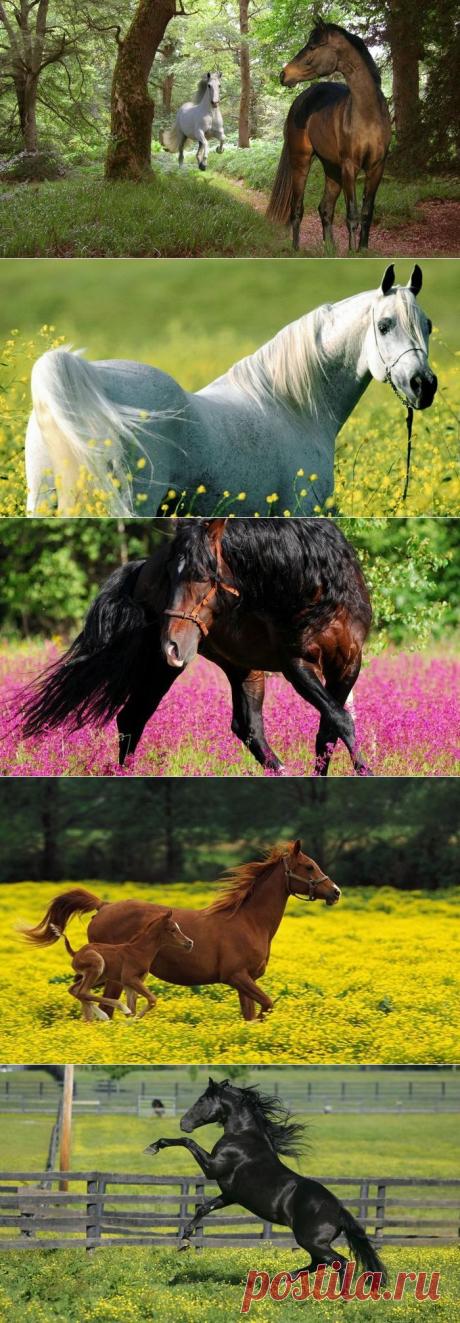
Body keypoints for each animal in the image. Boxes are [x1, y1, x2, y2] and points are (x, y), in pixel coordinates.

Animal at [19, 517, 373, 776]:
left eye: (202, 576)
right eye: (170, 578)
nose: (171, 645)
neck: (316, 590)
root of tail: (140, 567)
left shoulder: (347, 665)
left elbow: (329, 730)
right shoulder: (297, 666)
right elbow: (340, 720)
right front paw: (365, 771)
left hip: (241, 666)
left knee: (248, 727)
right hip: (163, 667)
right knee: (132, 718)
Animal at [53, 910, 193, 1022]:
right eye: (173, 929)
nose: (189, 942)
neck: (140, 951)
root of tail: (76, 952)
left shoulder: (129, 984)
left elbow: (134, 1008)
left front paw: (129, 1024)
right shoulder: (129, 978)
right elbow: (152, 999)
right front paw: (130, 1020)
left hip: (100, 976)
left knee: (76, 990)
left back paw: (93, 1018)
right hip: (97, 965)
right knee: (82, 991)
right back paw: (109, 1013)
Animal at [145, 1078, 387, 1293]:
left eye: (202, 1099)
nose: (183, 1123)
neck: (243, 1136)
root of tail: (339, 1211)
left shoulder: (212, 1168)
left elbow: (188, 1142)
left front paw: (154, 1146)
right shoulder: (230, 1194)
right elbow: (204, 1208)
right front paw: (185, 1240)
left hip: (312, 1241)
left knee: (339, 1262)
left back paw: (341, 1297)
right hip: (314, 1244)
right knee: (318, 1264)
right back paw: (277, 1281)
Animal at [268, 20, 391, 251]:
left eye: (312, 47)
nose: (283, 75)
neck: (368, 115)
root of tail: (301, 100)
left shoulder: (376, 167)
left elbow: (366, 213)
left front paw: (362, 250)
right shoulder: (350, 167)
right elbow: (352, 216)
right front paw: (352, 252)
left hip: (332, 168)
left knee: (325, 208)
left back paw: (330, 249)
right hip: (302, 162)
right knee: (297, 208)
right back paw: (296, 249)